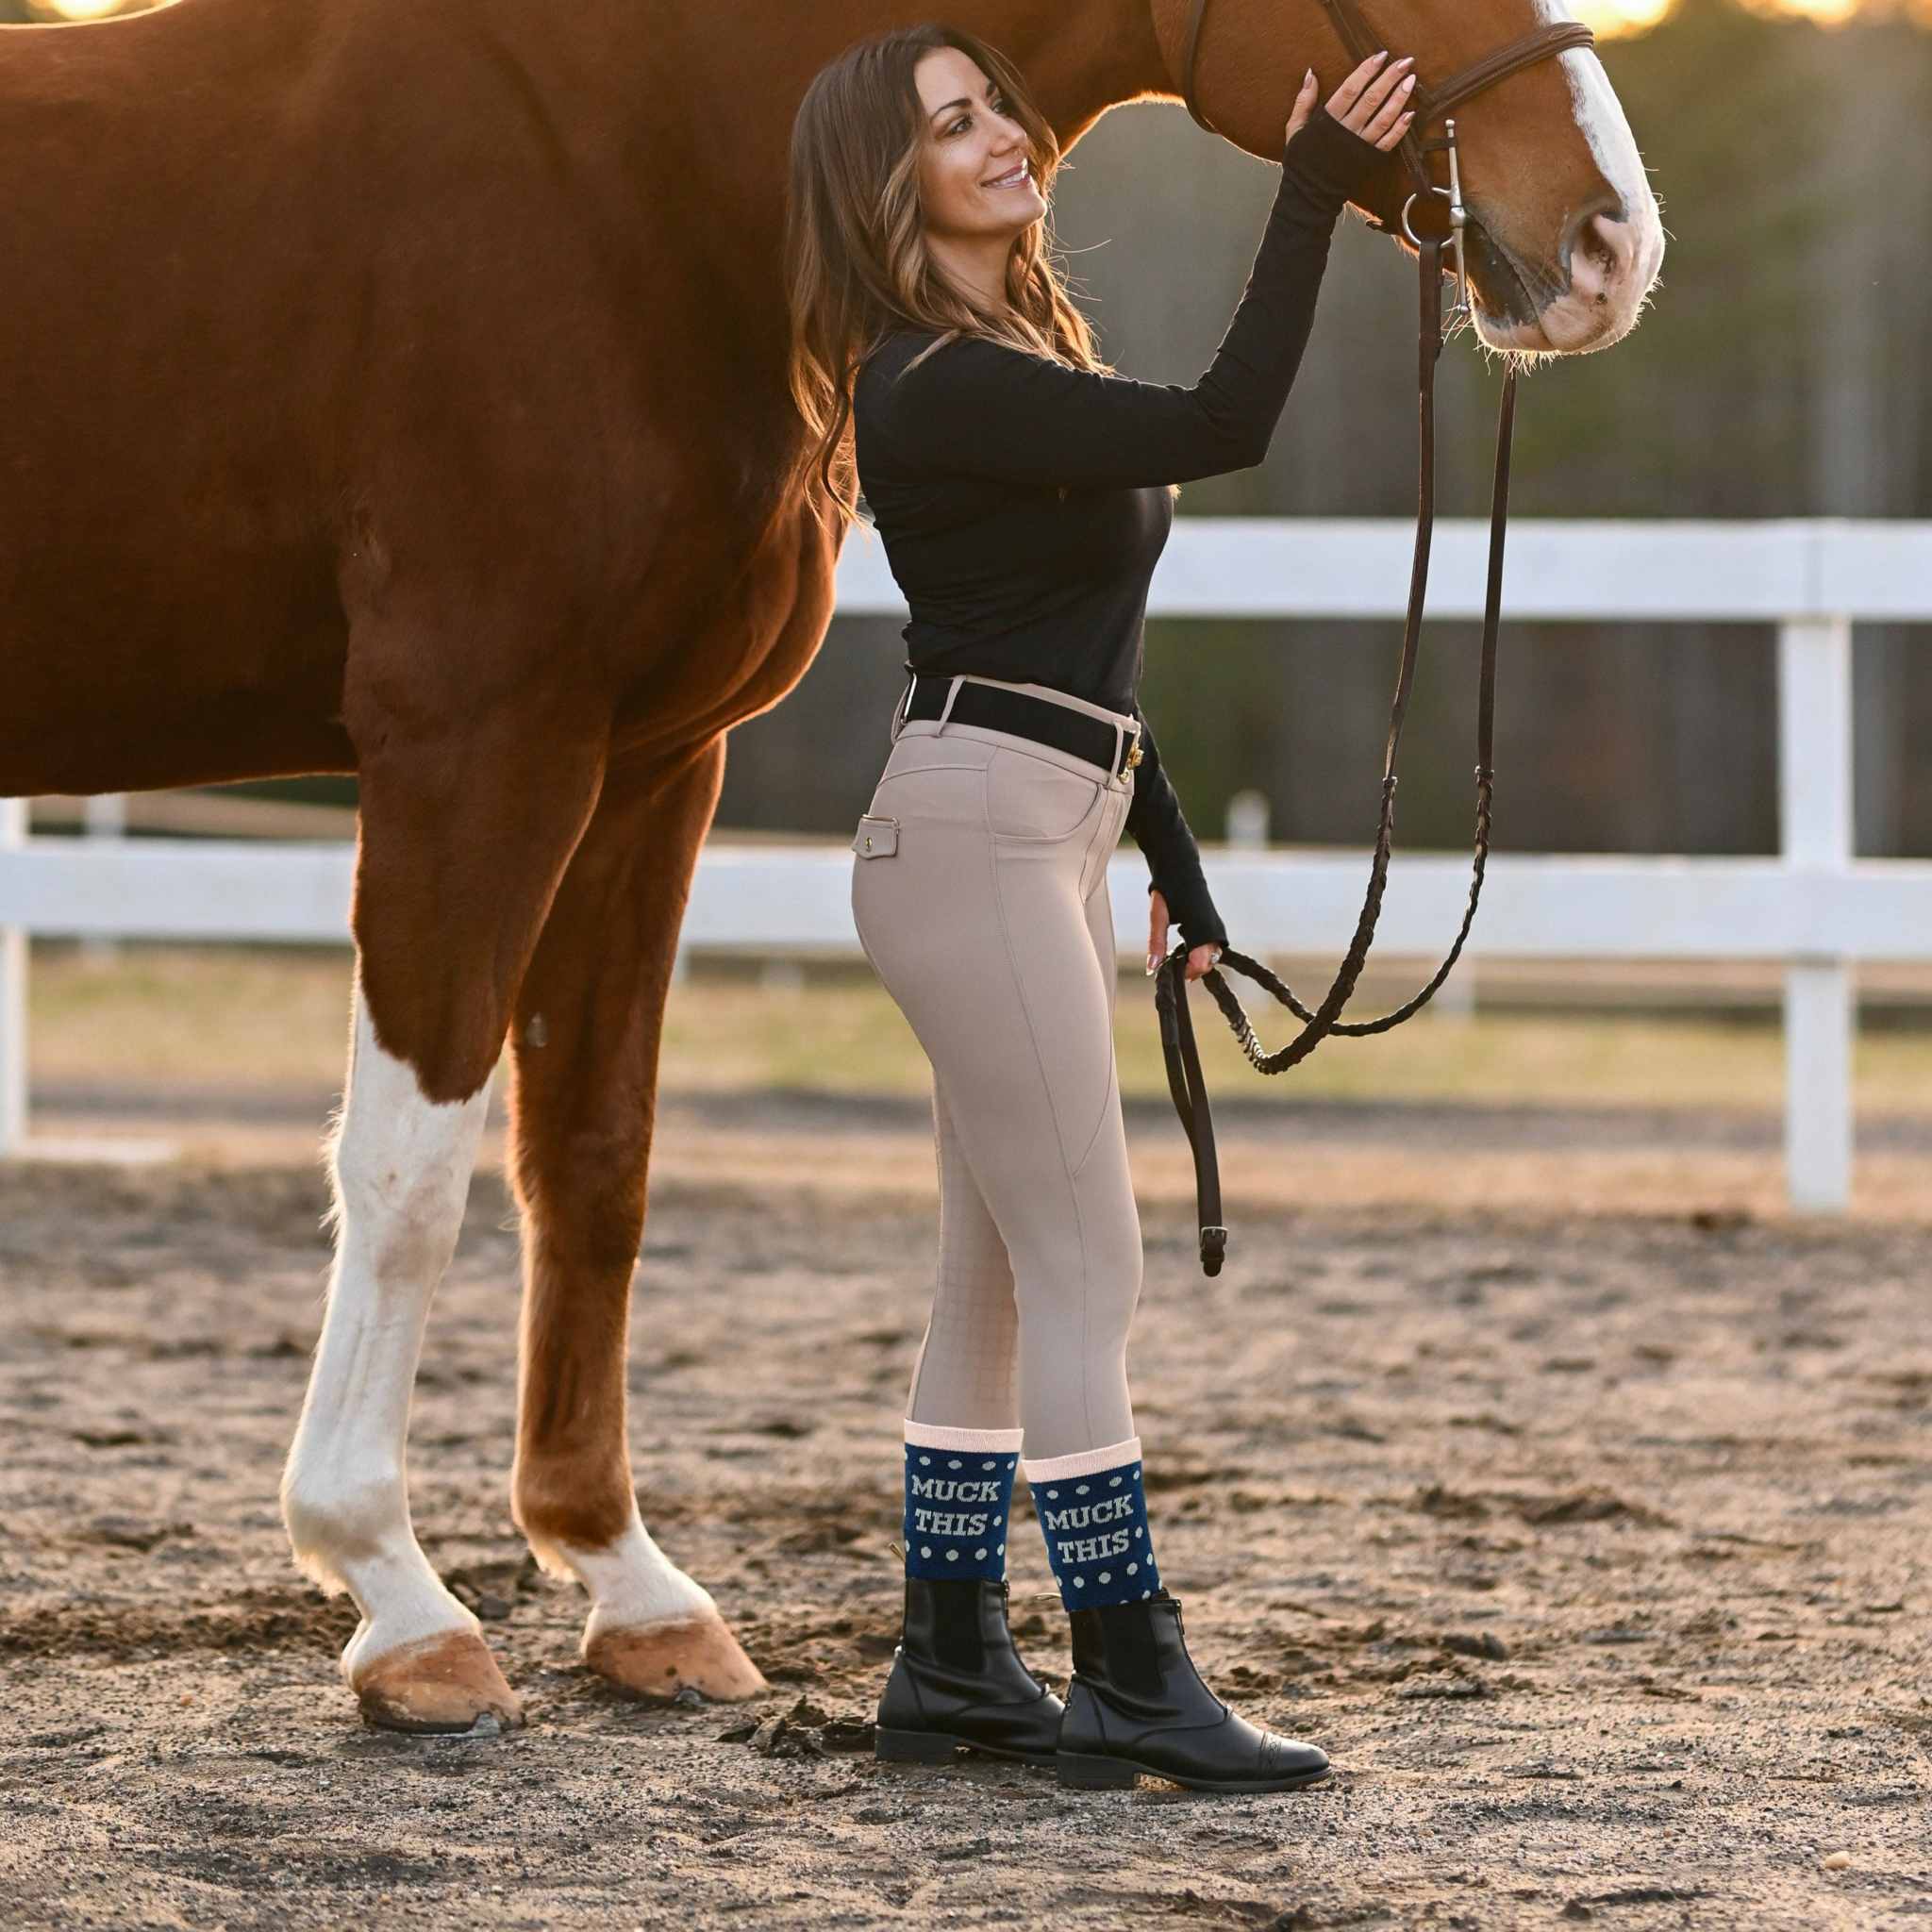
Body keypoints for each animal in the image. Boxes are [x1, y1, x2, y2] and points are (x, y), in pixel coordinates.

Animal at [0, 0, 1662, 1732]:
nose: (1609, 239)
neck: (618, 173)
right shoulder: (473, 741)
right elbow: (407, 1174)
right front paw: (399, 1597)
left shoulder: (646, 766)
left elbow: (591, 1156)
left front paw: (630, 1585)